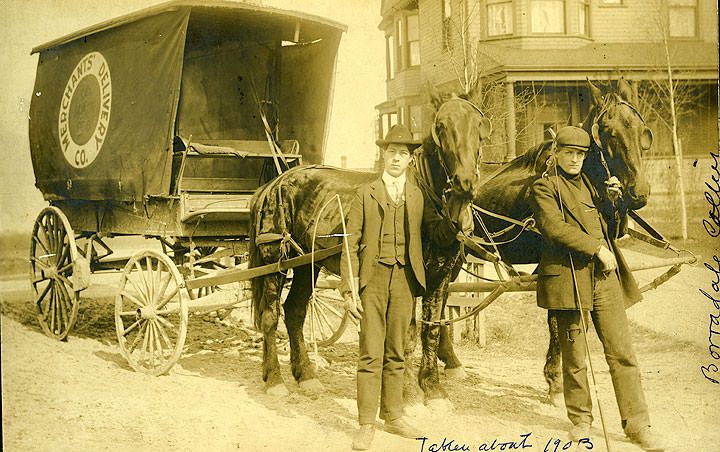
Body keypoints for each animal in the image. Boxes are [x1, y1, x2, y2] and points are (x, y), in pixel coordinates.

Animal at [248, 92, 490, 396]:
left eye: (479, 127)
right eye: (441, 127)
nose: (464, 182)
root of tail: (274, 184)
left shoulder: (441, 277)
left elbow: (432, 329)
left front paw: (432, 387)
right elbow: (408, 334)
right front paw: (407, 392)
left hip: (307, 265)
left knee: (294, 311)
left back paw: (306, 375)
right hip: (275, 262)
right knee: (270, 315)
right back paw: (275, 379)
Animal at [422, 78, 660, 406]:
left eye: (642, 130)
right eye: (610, 132)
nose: (639, 193)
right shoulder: (555, 261)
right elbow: (558, 321)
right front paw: (556, 382)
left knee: (442, 300)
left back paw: (451, 360)